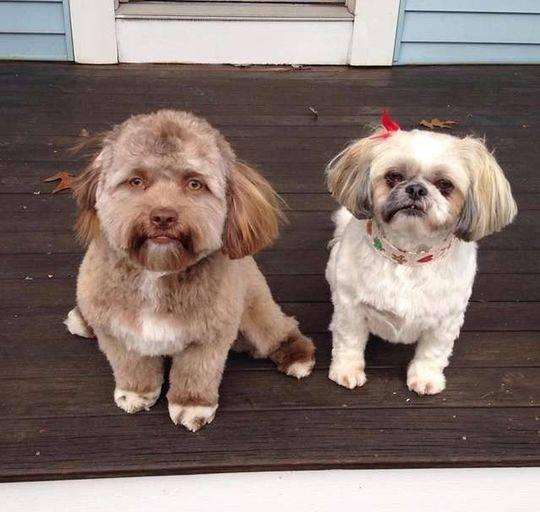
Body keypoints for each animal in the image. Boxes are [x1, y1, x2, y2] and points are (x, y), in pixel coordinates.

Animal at [64, 110, 315, 431]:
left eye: (195, 184)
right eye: (136, 181)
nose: (162, 217)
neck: (156, 272)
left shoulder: (208, 337)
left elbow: (196, 373)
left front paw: (192, 406)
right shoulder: (117, 332)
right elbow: (131, 365)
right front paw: (136, 392)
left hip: (256, 311)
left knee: (279, 329)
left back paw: (296, 356)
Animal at [325, 113, 516, 395]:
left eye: (445, 184)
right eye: (394, 176)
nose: (416, 189)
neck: (409, 257)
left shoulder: (447, 320)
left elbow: (432, 353)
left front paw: (425, 379)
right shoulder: (351, 308)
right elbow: (349, 341)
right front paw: (346, 371)